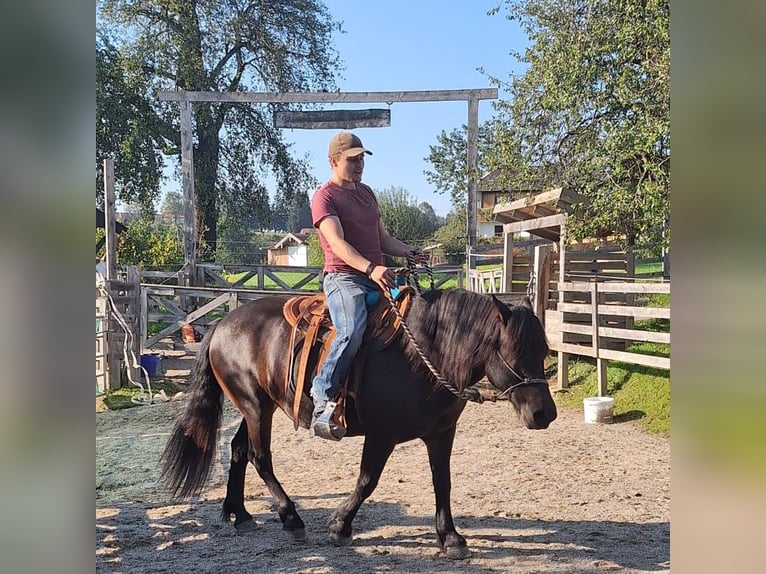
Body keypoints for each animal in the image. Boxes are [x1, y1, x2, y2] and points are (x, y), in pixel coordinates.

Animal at [162, 290, 560, 560]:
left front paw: (450, 536)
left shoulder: (441, 433)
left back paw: (240, 514)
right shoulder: (381, 434)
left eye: (542, 351)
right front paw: (340, 525)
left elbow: (443, 483)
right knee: (260, 458)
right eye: (514, 352)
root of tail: (222, 324)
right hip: (256, 407)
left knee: (238, 451)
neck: (424, 355)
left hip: (259, 407)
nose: (545, 414)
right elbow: (368, 481)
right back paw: (291, 519)